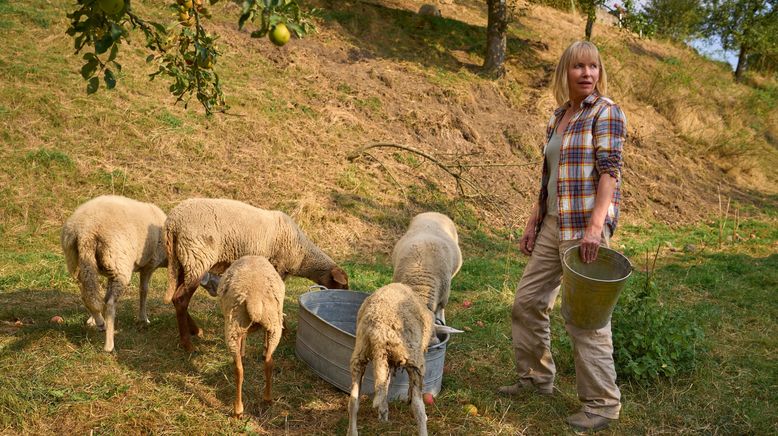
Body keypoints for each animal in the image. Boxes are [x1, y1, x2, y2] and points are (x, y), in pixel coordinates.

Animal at [61, 196, 167, 352]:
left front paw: (92, 321)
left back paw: (100, 322)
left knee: (88, 296)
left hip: (78, 262)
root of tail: (86, 231)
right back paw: (109, 345)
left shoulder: (109, 273)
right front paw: (144, 318)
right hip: (118, 263)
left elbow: (103, 297)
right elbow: (144, 291)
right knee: (110, 304)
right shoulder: (149, 265)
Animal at [162, 199, 348, 352]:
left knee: (176, 297)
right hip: (197, 258)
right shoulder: (278, 268)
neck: (302, 255)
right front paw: (283, 329)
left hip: (183, 260)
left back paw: (195, 330)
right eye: (343, 285)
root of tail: (173, 223)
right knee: (181, 299)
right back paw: (188, 344)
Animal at [217, 255, 284, 418]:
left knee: (238, 369)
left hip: (233, 326)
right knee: (269, 362)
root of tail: (255, 300)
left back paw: (238, 409)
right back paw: (267, 398)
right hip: (274, 325)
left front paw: (243, 351)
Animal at [348, 282, 460, 436]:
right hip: (413, 359)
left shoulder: (389, 362)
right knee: (418, 406)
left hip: (360, 355)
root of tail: (379, 333)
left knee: (354, 400)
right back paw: (423, 423)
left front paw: (383, 412)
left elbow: (386, 384)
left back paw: (354, 430)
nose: (436, 341)